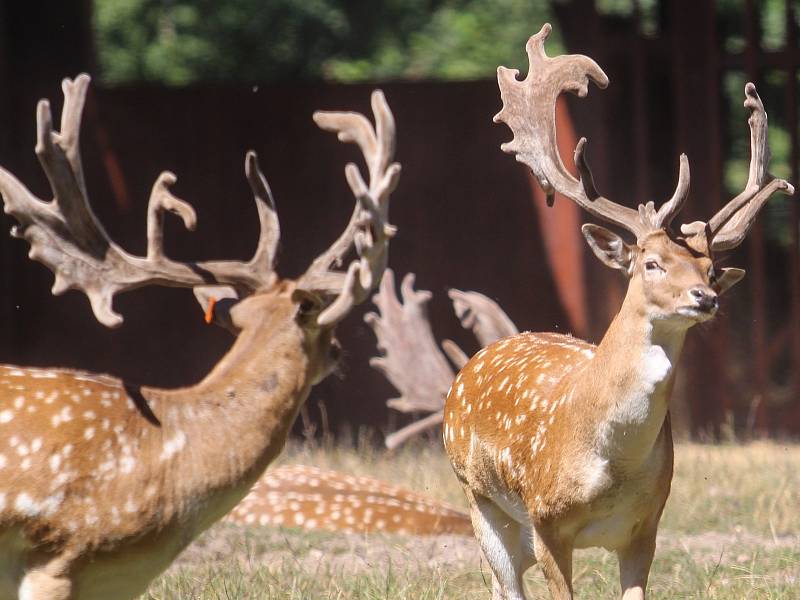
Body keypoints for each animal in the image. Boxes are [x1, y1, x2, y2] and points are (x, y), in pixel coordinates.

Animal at [440, 23, 796, 600]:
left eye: (710, 269)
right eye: (651, 262)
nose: (706, 298)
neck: (609, 464)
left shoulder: (646, 528)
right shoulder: (546, 522)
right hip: (480, 498)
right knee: (503, 582)